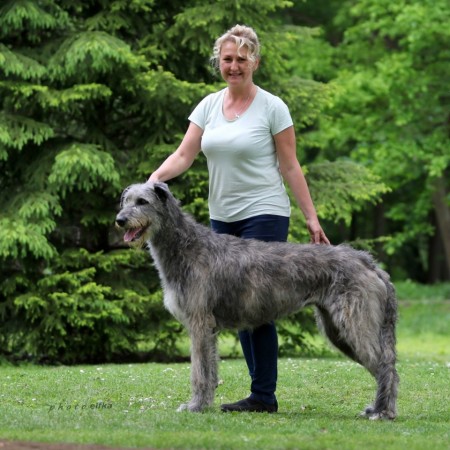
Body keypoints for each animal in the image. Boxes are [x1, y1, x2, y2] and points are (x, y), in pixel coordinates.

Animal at [115, 182, 398, 418]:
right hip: (337, 330)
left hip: (353, 325)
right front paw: (204, 403)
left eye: (142, 201)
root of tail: (369, 263)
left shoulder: (199, 323)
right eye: (124, 200)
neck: (186, 246)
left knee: (386, 366)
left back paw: (383, 411)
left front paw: (195, 406)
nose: (120, 220)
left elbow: (199, 372)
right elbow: (210, 370)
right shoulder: (209, 330)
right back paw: (379, 407)